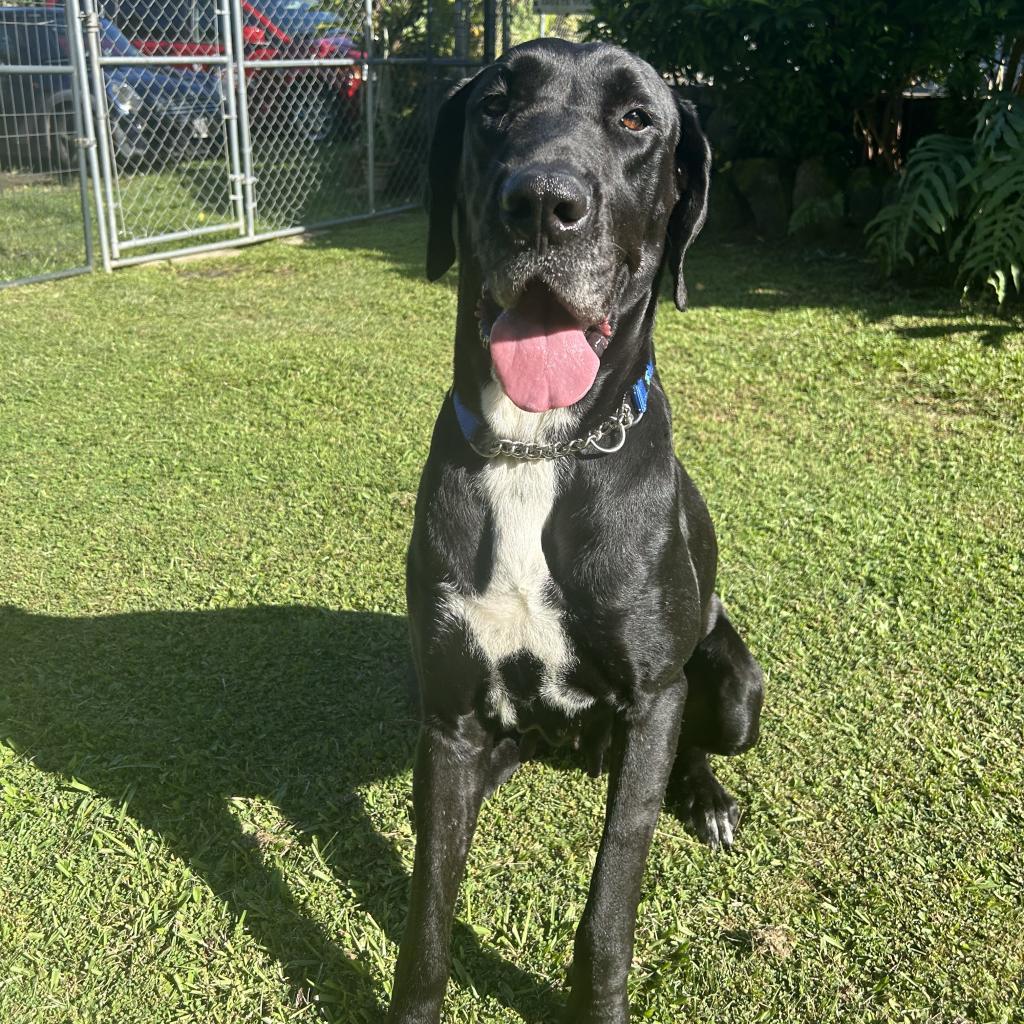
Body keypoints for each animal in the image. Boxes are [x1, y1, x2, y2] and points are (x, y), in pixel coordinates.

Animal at [387, 37, 765, 1024]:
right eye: (494, 104)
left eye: (637, 119)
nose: (543, 204)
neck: (540, 449)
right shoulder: (448, 719)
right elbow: (428, 911)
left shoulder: (654, 695)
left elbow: (609, 904)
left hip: (733, 691)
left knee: (694, 742)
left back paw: (707, 797)